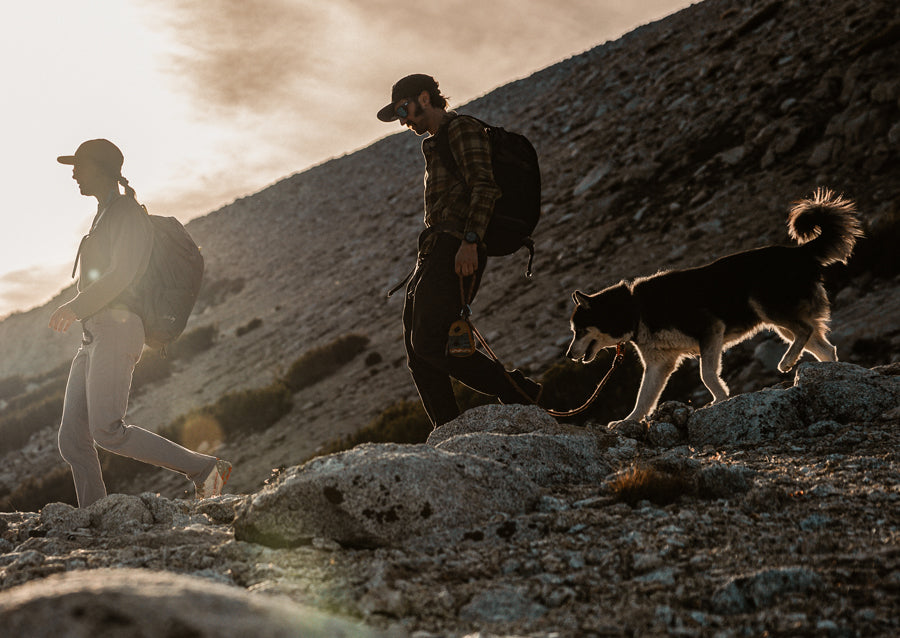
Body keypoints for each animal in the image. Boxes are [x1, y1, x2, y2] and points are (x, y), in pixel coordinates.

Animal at [568, 190, 860, 428]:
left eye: (578, 330)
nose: (570, 356)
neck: (634, 309)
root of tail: (800, 252)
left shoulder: (709, 331)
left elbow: (706, 374)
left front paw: (719, 399)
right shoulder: (660, 363)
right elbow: (644, 397)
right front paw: (629, 420)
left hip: (767, 307)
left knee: (805, 330)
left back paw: (787, 361)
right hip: (780, 322)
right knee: (824, 346)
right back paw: (831, 373)